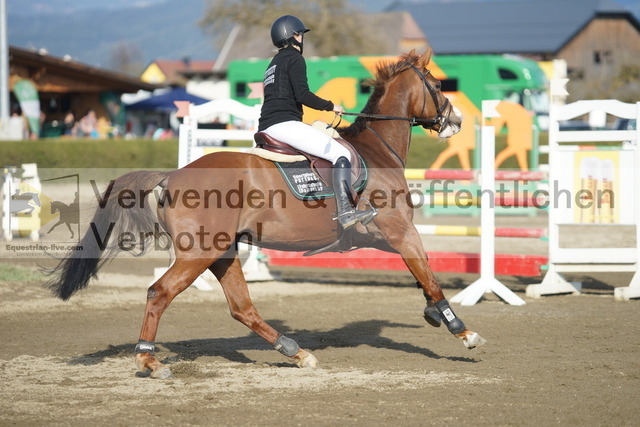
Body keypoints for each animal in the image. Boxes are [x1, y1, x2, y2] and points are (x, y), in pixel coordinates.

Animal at [47, 48, 484, 380]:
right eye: (439, 85)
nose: (456, 121)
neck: (377, 151)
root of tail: (172, 176)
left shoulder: (383, 238)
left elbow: (421, 276)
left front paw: (432, 314)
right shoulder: (399, 231)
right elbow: (430, 277)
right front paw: (461, 331)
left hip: (222, 252)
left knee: (241, 307)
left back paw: (295, 351)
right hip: (199, 254)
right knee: (159, 293)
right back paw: (149, 361)